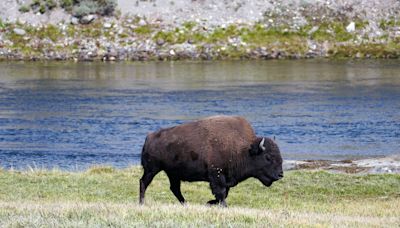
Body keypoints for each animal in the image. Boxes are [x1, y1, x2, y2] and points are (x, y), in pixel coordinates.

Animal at [139, 116, 282, 207]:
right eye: (268, 157)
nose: (280, 174)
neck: (243, 149)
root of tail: (149, 137)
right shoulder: (217, 175)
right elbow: (221, 193)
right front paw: (222, 205)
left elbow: (224, 193)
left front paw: (209, 203)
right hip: (152, 169)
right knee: (143, 182)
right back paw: (141, 203)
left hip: (173, 174)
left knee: (175, 189)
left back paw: (185, 204)